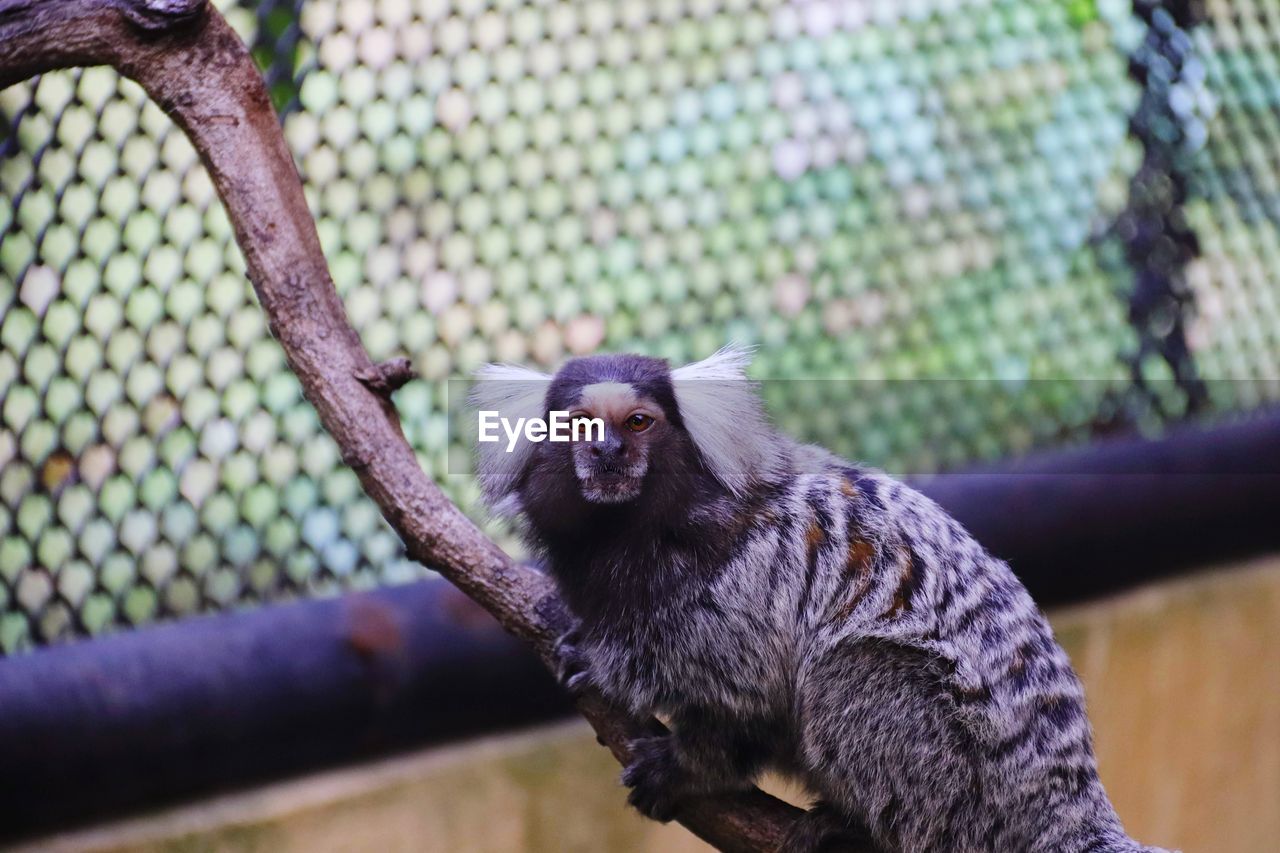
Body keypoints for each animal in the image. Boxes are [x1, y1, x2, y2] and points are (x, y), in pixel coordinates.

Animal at [473, 348, 1172, 850]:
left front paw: (670, 746)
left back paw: (850, 825)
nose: (608, 452)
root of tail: (1063, 801)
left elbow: (742, 690)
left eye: (637, 422)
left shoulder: (743, 577)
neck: (642, 531)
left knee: (847, 674)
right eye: (580, 426)